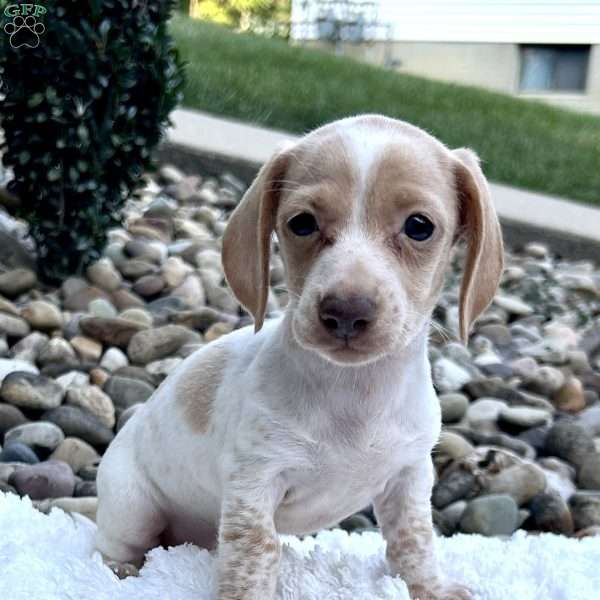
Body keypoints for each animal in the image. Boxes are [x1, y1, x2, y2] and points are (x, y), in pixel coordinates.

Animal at [96, 115, 504, 596]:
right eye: (303, 223)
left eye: (419, 226)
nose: (345, 311)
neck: (355, 392)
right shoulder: (254, 482)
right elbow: (256, 553)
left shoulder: (409, 477)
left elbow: (415, 540)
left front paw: (430, 589)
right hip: (131, 505)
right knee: (116, 545)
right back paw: (120, 572)